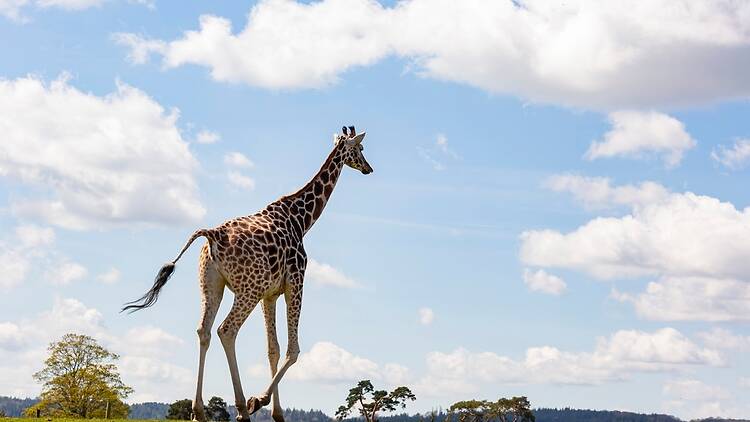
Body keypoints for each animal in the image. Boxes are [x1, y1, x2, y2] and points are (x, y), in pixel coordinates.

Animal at [122, 126, 373, 422]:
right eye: (360, 149)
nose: (368, 168)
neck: (302, 220)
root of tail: (211, 235)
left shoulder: (270, 294)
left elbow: (272, 349)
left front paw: (277, 413)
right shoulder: (295, 282)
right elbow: (293, 350)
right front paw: (259, 401)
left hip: (212, 286)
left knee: (204, 331)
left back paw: (199, 411)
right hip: (247, 290)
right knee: (226, 330)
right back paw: (242, 406)